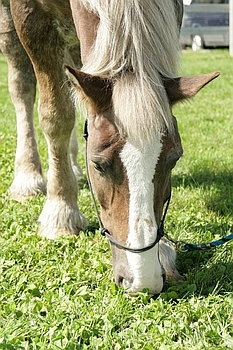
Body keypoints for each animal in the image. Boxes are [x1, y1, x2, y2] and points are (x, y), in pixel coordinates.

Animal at [5, 0, 220, 296]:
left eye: (174, 159)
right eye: (98, 165)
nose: (141, 280)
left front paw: (162, 250)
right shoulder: (31, 18)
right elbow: (55, 115)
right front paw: (61, 211)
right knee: (21, 86)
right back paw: (28, 177)